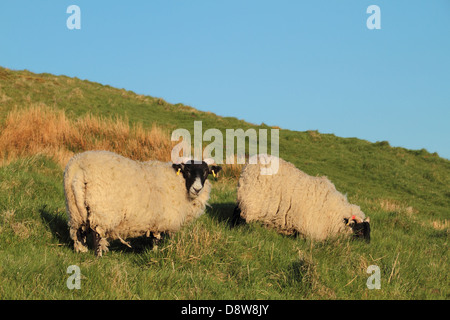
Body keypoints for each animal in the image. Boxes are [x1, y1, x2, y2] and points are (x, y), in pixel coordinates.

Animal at [63, 151, 221, 256]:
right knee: (97, 234)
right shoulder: (161, 220)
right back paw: (98, 255)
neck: (180, 183)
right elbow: (156, 239)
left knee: (79, 230)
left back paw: (82, 251)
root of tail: (79, 167)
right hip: (101, 210)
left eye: (206, 172)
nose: (197, 189)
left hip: (75, 208)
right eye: (187, 171)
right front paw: (155, 253)